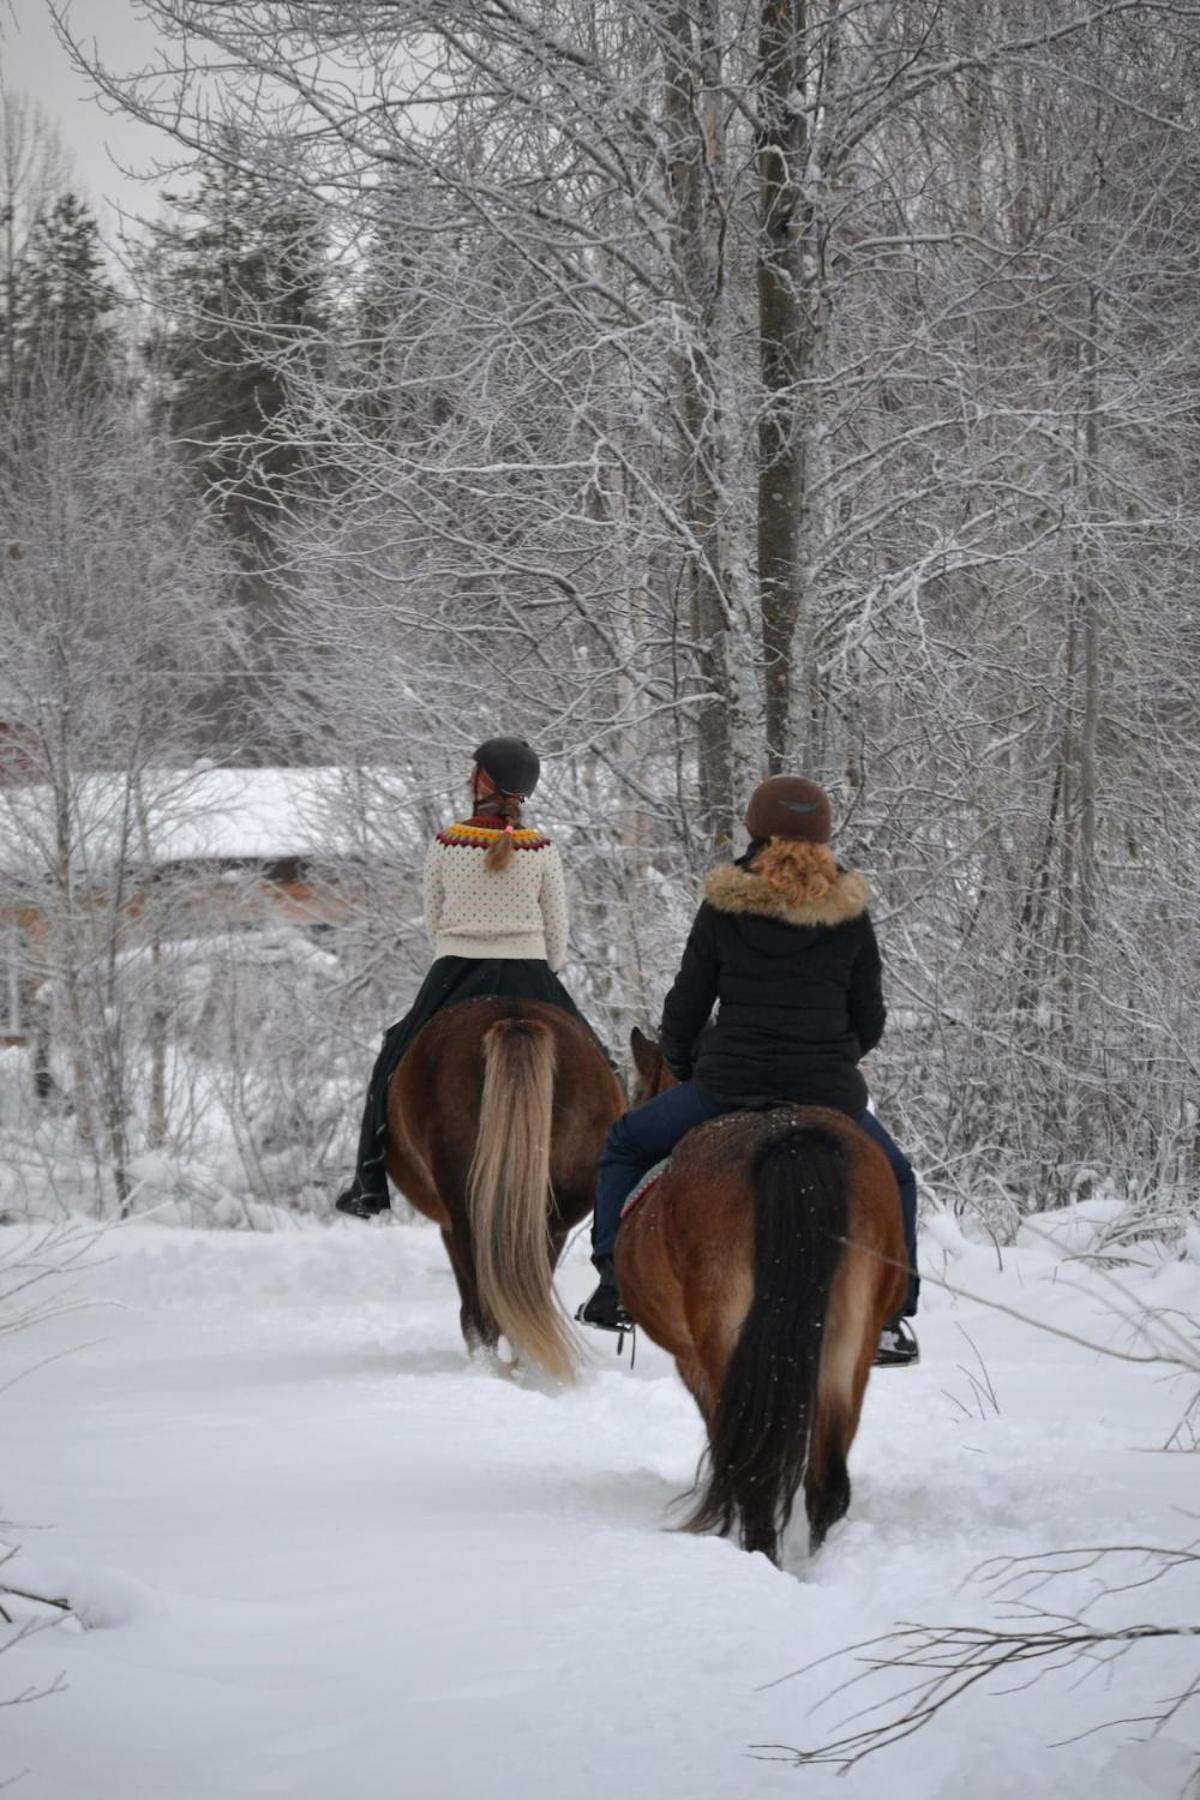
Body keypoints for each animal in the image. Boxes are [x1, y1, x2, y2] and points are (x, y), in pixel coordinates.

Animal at [615, 1036, 906, 1569]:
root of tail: (788, 1138)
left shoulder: (694, 1364)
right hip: (848, 1343)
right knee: (826, 1481)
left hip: (727, 1339)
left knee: (756, 1469)